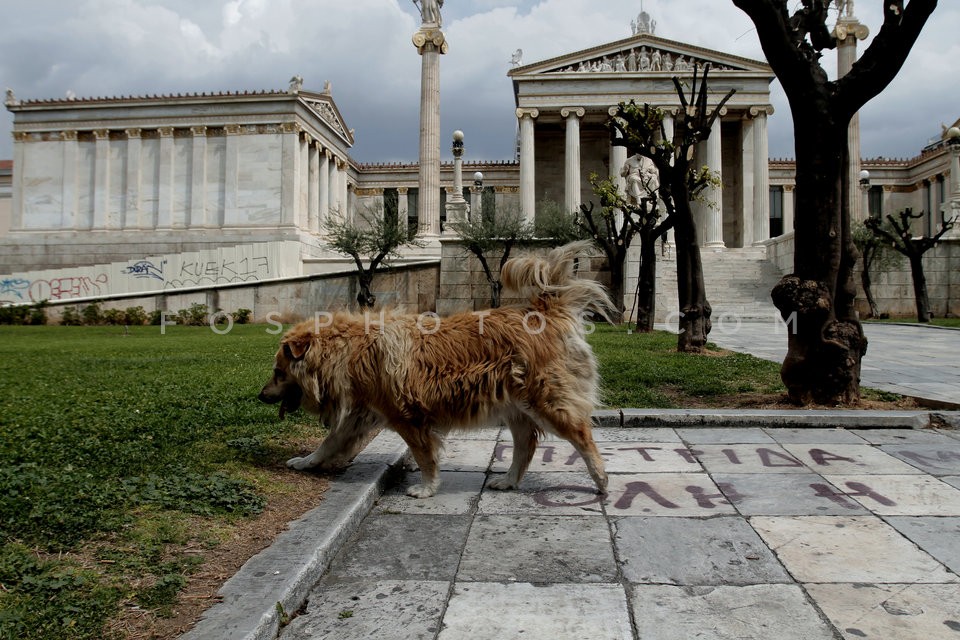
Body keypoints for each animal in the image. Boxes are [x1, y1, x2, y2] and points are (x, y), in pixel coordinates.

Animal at [258, 242, 612, 498]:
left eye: (278, 372)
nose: (260, 396)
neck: (352, 350)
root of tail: (545, 311)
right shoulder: (359, 415)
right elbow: (328, 444)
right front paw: (305, 462)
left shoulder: (408, 417)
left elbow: (424, 456)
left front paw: (427, 489)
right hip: (516, 408)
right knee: (525, 447)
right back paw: (508, 481)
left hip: (546, 403)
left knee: (582, 437)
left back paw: (601, 480)